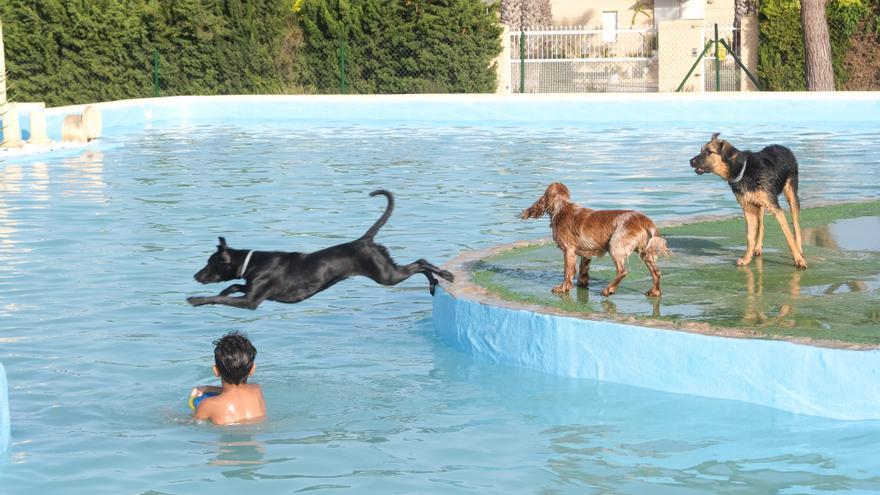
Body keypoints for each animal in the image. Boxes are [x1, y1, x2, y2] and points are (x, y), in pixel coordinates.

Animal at [190, 190, 458, 310]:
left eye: (210, 263)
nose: (195, 276)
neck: (251, 262)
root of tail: (365, 240)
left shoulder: (251, 302)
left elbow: (220, 297)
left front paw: (196, 300)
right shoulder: (250, 289)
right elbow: (234, 286)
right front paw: (224, 289)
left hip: (386, 275)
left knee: (421, 262)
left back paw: (444, 276)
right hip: (387, 271)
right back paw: (434, 284)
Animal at [520, 183, 672, 296]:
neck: (563, 208)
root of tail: (644, 219)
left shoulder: (568, 250)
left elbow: (567, 272)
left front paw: (562, 288)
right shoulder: (586, 253)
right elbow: (583, 270)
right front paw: (581, 284)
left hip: (615, 246)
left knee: (622, 271)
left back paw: (608, 290)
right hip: (645, 252)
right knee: (656, 272)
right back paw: (655, 292)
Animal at [692, 134, 808, 270]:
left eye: (709, 152)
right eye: (701, 150)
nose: (690, 161)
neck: (742, 170)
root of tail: (785, 148)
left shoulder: (775, 208)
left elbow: (788, 236)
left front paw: (799, 260)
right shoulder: (748, 209)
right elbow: (750, 236)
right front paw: (746, 259)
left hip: (791, 194)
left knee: (796, 225)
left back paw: (799, 250)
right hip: (760, 204)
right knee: (761, 224)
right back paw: (758, 247)